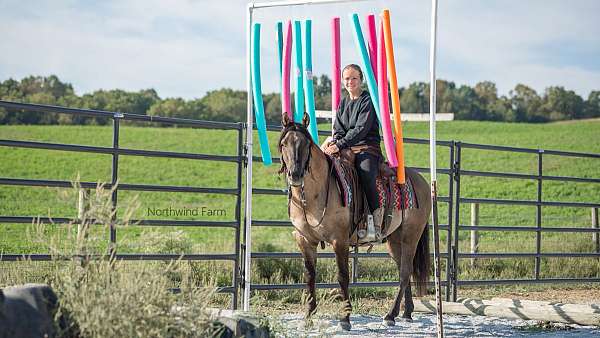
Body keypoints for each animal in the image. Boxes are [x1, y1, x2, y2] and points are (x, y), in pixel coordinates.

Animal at [276, 113, 432, 330]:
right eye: (284, 144)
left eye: (306, 144)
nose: (296, 174)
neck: (317, 192)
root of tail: (421, 181)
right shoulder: (305, 241)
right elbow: (310, 277)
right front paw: (308, 317)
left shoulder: (339, 241)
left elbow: (342, 277)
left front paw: (345, 319)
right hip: (394, 240)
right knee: (404, 270)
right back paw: (406, 313)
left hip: (411, 236)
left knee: (404, 272)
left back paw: (390, 315)